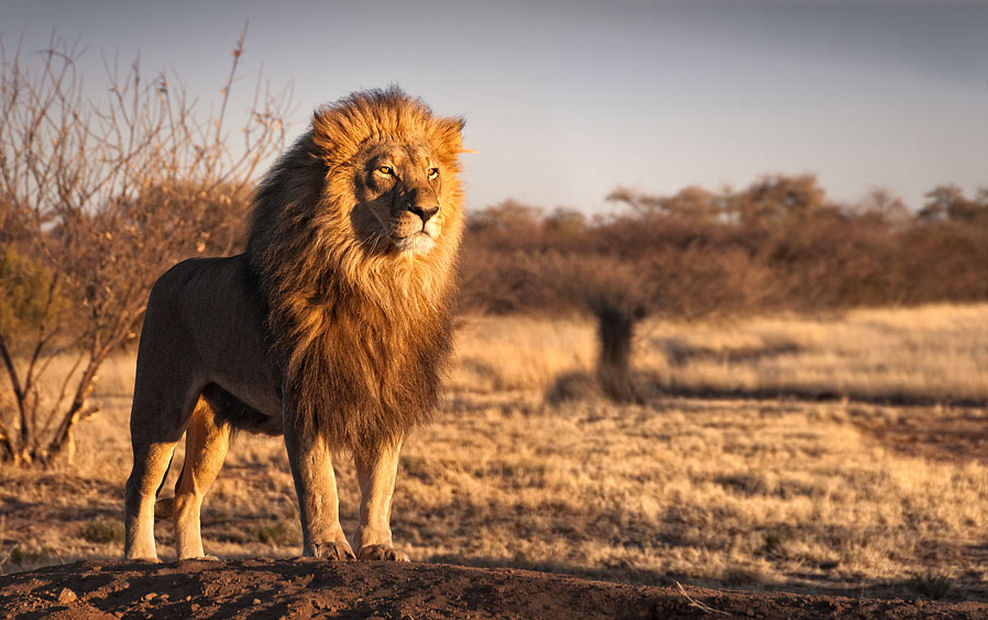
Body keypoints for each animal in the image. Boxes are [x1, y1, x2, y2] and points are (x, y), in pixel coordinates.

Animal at [123, 89, 466, 564]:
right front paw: (328, 547)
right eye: (385, 170)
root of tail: (166, 275)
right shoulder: (304, 396)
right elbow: (320, 483)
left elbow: (381, 485)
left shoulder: (385, 400)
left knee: (187, 492)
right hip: (161, 406)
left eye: (433, 172)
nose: (428, 210)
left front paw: (379, 547)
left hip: (212, 427)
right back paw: (141, 557)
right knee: (140, 485)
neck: (380, 279)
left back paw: (194, 559)